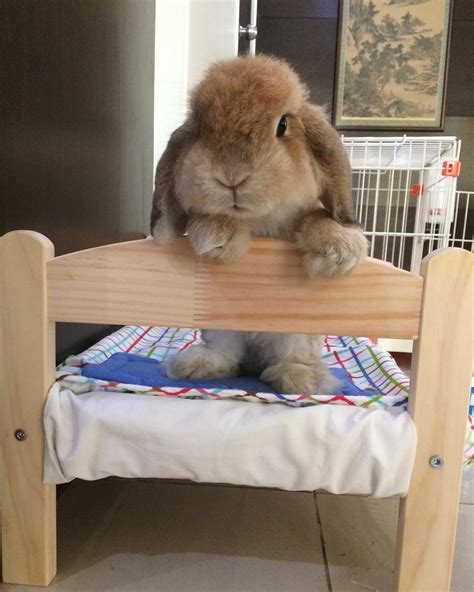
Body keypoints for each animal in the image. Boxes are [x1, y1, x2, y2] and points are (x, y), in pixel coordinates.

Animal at [150, 55, 368, 396]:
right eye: (200, 128)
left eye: (282, 125)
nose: (231, 176)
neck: (260, 222)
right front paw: (216, 233)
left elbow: (317, 216)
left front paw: (340, 250)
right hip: (220, 324)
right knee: (227, 355)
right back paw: (195, 365)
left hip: (296, 333)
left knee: (289, 357)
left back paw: (300, 378)